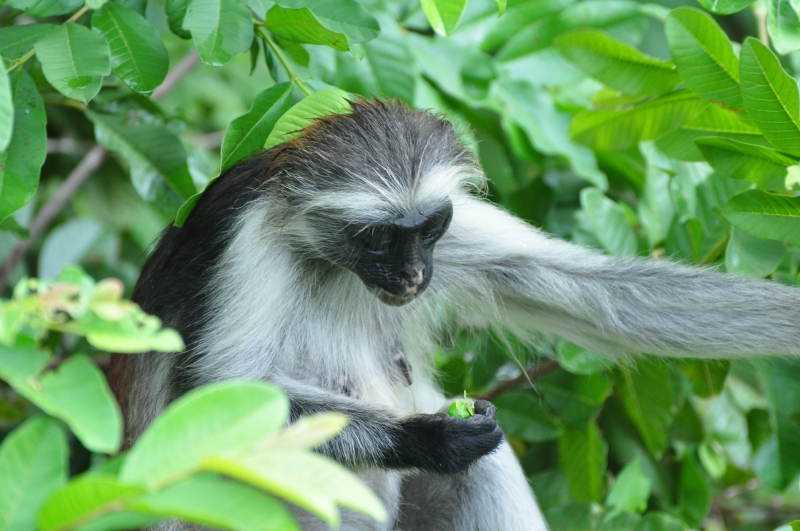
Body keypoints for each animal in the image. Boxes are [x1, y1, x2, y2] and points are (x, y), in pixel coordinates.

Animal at [108, 99, 800, 531]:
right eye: (377, 239)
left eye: (428, 230)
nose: (416, 276)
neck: (330, 258)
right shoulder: (249, 234)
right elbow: (222, 398)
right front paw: (428, 439)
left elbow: (603, 299)